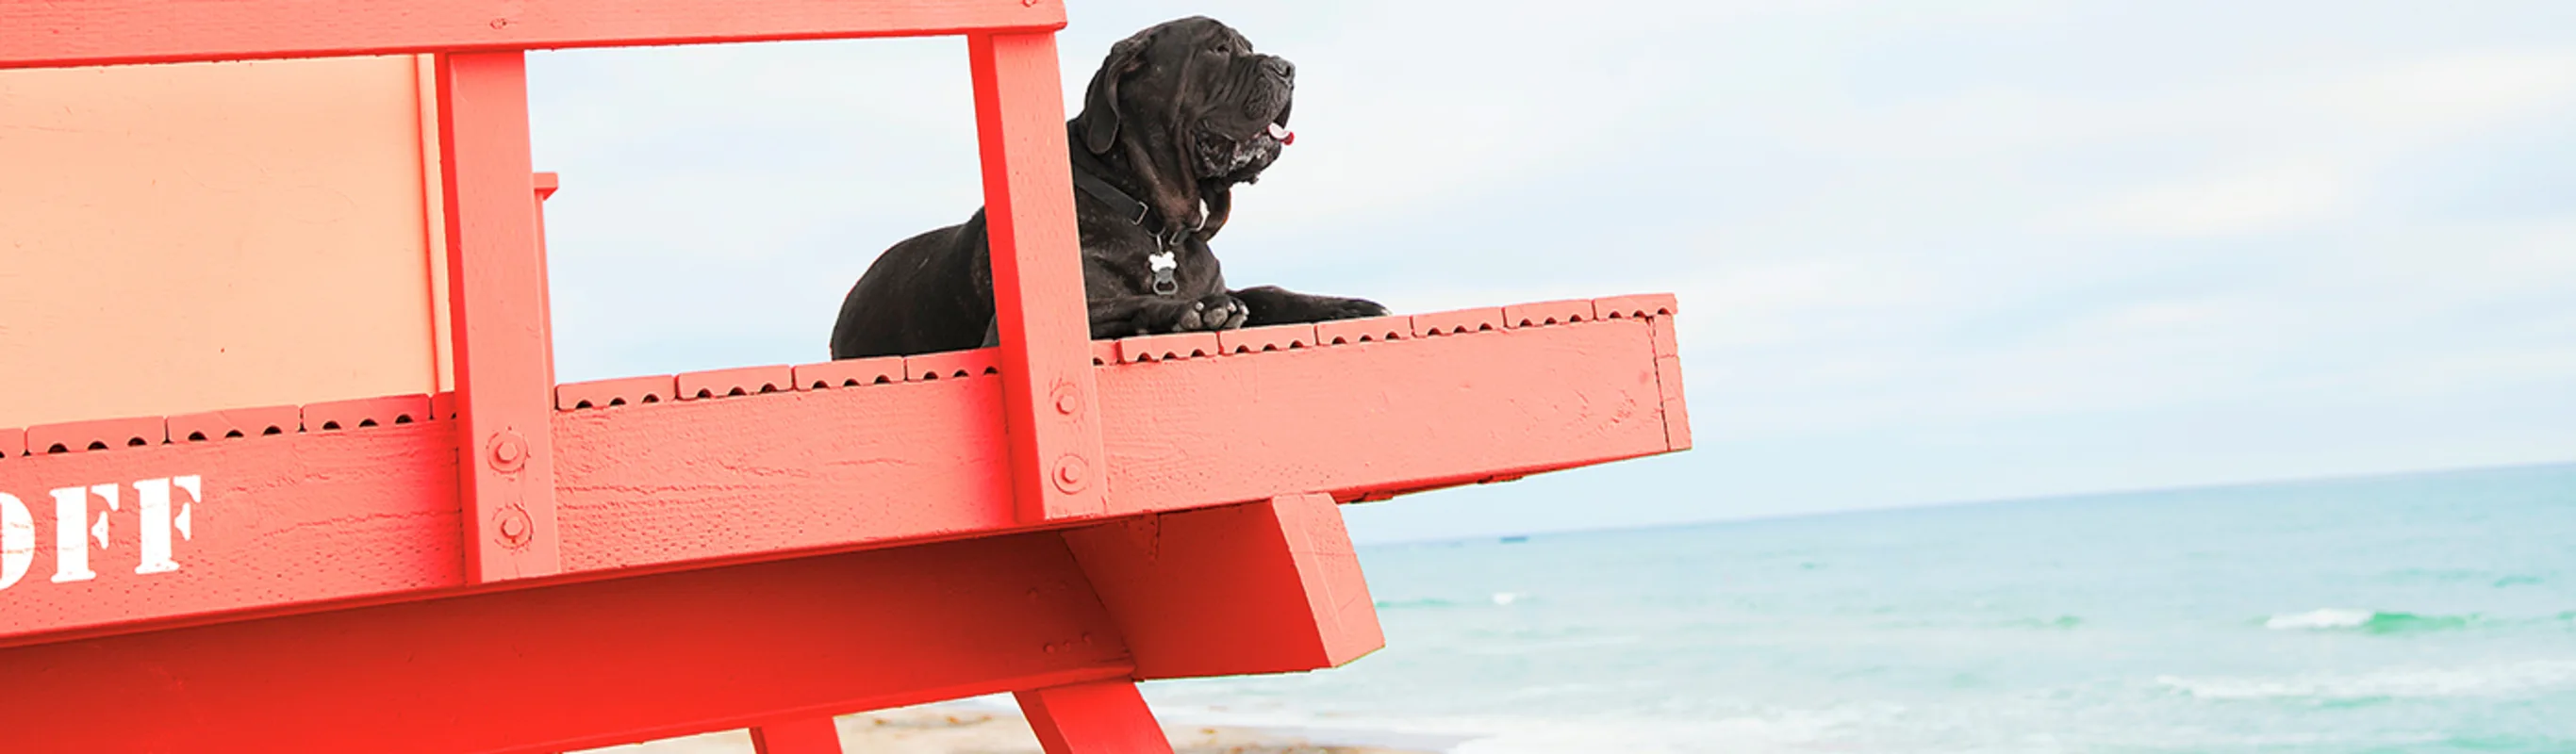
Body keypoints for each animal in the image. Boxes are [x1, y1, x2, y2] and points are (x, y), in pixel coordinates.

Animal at [829, 16, 1391, 357]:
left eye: (1248, 48)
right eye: (1217, 49)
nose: (1287, 67)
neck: (1154, 219)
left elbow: (1265, 292)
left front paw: (1346, 306)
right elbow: (1115, 306)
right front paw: (1190, 311)